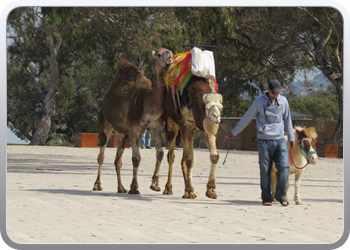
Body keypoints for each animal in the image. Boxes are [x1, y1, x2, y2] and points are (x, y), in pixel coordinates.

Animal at [93, 47, 174, 194]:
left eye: (167, 51)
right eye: (159, 54)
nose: (169, 54)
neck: (149, 103)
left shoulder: (155, 127)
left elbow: (160, 153)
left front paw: (155, 184)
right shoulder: (134, 129)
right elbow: (136, 159)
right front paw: (134, 187)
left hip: (121, 132)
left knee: (117, 160)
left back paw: (121, 188)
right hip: (105, 123)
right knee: (101, 155)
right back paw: (97, 185)